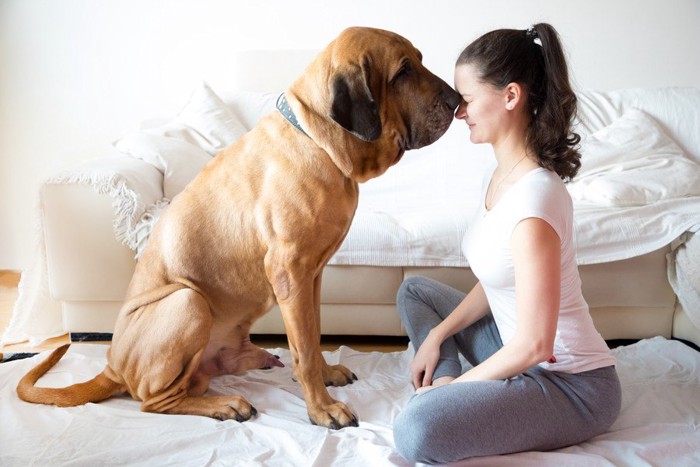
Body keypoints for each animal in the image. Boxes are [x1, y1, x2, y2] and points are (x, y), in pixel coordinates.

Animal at [16, 27, 462, 430]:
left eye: (420, 60)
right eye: (403, 71)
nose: (458, 100)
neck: (317, 140)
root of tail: (112, 366)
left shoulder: (312, 276)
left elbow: (313, 335)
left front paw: (326, 373)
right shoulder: (290, 273)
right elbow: (304, 348)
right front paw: (322, 409)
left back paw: (253, 361)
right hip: (187, 301)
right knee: (155, 401)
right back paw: (224, 405)